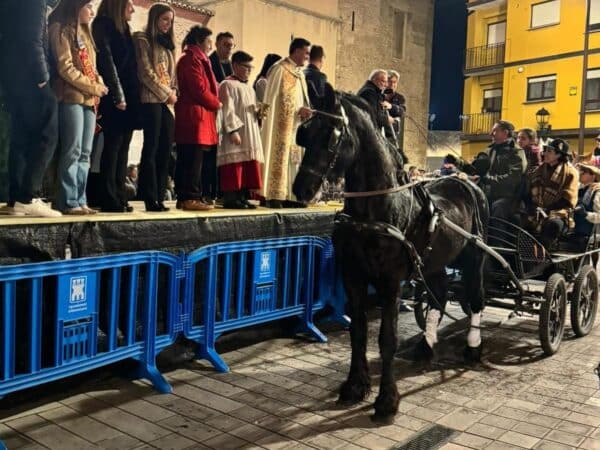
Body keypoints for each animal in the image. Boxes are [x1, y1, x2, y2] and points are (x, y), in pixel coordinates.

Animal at [292, 84, 490, 422]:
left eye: (331, 135)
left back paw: (473, 347)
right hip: (435, 261)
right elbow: (358, 332)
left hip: (474, 256)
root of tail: (464, 180)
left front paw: (386, 400)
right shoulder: (353, 276)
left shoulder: (390, 281)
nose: (301, 190)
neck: (375, 211)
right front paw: (354, 386)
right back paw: (426, 345)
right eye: (303, 134)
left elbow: (387, 339)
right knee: (439, 294)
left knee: (476, 298)